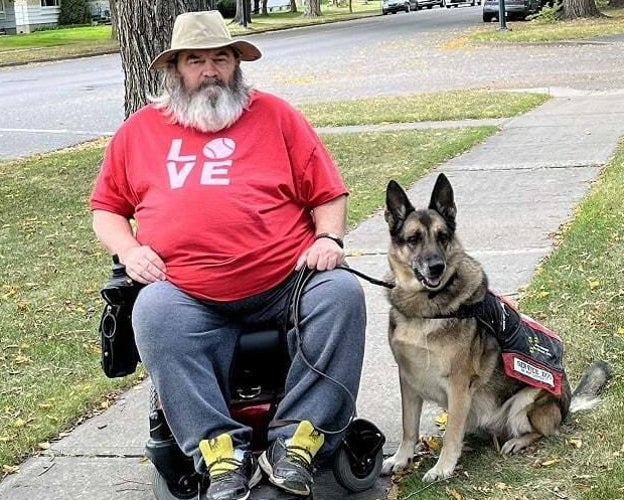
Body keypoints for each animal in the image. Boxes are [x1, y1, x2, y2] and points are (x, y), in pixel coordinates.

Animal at [380, 174, 608, 482]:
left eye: (443, 237)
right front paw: (401, 458)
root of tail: (568, 404)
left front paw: (442, 467)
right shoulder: (408, 380)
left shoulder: (459, 385)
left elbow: (451, 434)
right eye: (413, 239)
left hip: (526, 401)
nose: (436, 267)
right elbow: (409, 427)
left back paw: (516, 441)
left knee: (543, 431)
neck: (426, 309)